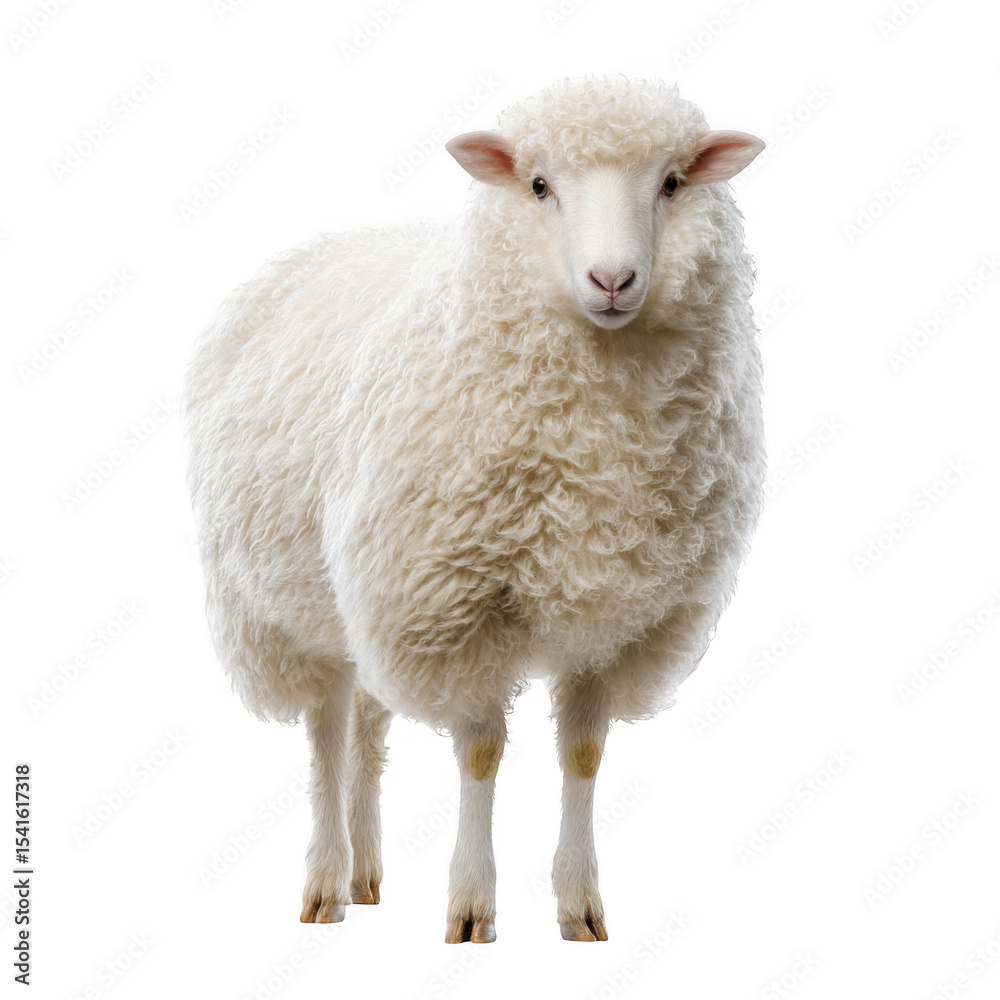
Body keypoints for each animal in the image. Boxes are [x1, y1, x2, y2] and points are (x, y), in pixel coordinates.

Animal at [182, 75, 766, 944]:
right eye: (539, 185)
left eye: (671, 182)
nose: (613, 281)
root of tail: (318, 249)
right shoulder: (454, 605)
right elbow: (482, 754)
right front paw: (470, 907)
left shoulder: (616, 616)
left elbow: (584, 755)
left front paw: (579, 906)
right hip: (289, 604)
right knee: (326, 734)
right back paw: (325, 884)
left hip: (366, 597)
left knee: (367, 732)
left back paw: (366, 875)